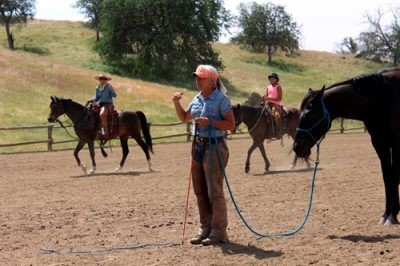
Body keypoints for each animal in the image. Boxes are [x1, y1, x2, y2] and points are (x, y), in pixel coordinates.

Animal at [292, 67, 400, 225]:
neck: (382, 97)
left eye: (308, 114)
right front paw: (386, 214)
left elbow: (394, 177)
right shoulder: (380, 143)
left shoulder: (396, 143)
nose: (296, 147)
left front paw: (392, 216)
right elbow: (387, 178)